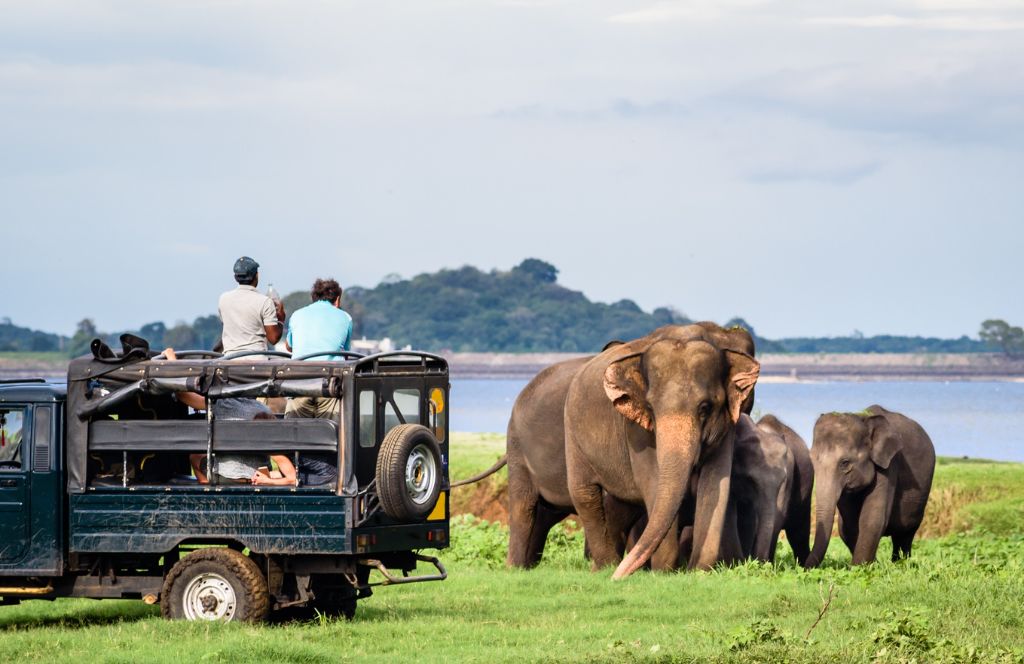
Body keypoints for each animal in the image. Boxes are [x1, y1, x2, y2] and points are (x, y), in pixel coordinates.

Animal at [802, 401, 937, 569]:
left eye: (845, 463)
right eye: (812, 460)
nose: (803, 568)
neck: (863, 419)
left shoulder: (889, 464)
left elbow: (872, 518)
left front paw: (859, 568)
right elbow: (848, 526)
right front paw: (870, 566)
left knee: (905, 533)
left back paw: (900, 564)